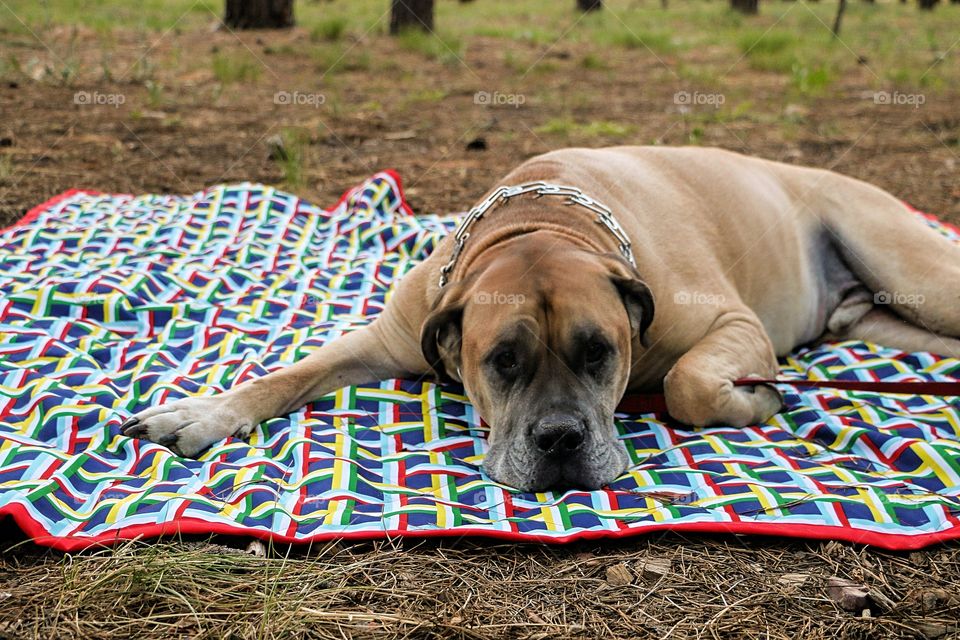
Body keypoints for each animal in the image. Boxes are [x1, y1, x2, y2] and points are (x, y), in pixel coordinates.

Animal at [120, 148, 960, 492]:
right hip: (886, 319)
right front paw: (199, 411)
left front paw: (752, 401)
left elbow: (687, 383)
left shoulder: (732, 325)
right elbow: (288, 374)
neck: (543, 222)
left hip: (916, 271)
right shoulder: (383, 337)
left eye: (601, 354)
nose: (559, 440)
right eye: (502, 362)